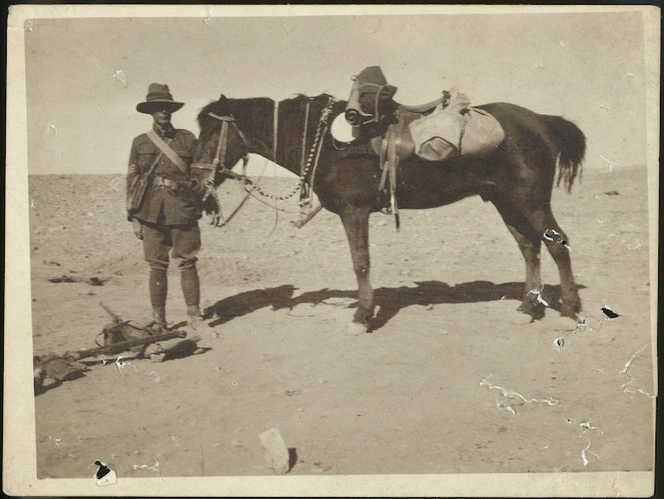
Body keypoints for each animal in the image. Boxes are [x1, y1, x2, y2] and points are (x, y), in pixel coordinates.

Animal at [189, 93, 584, 336]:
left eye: (210, 132)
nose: (193, 182)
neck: (327, 143)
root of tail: (541, 121)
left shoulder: (354, 211)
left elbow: (361, 262)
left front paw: (362, 317)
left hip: (530, 201)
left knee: (558, 246)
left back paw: (568, 312)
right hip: (507, 202)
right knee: (530, 249)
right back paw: (528, 308)